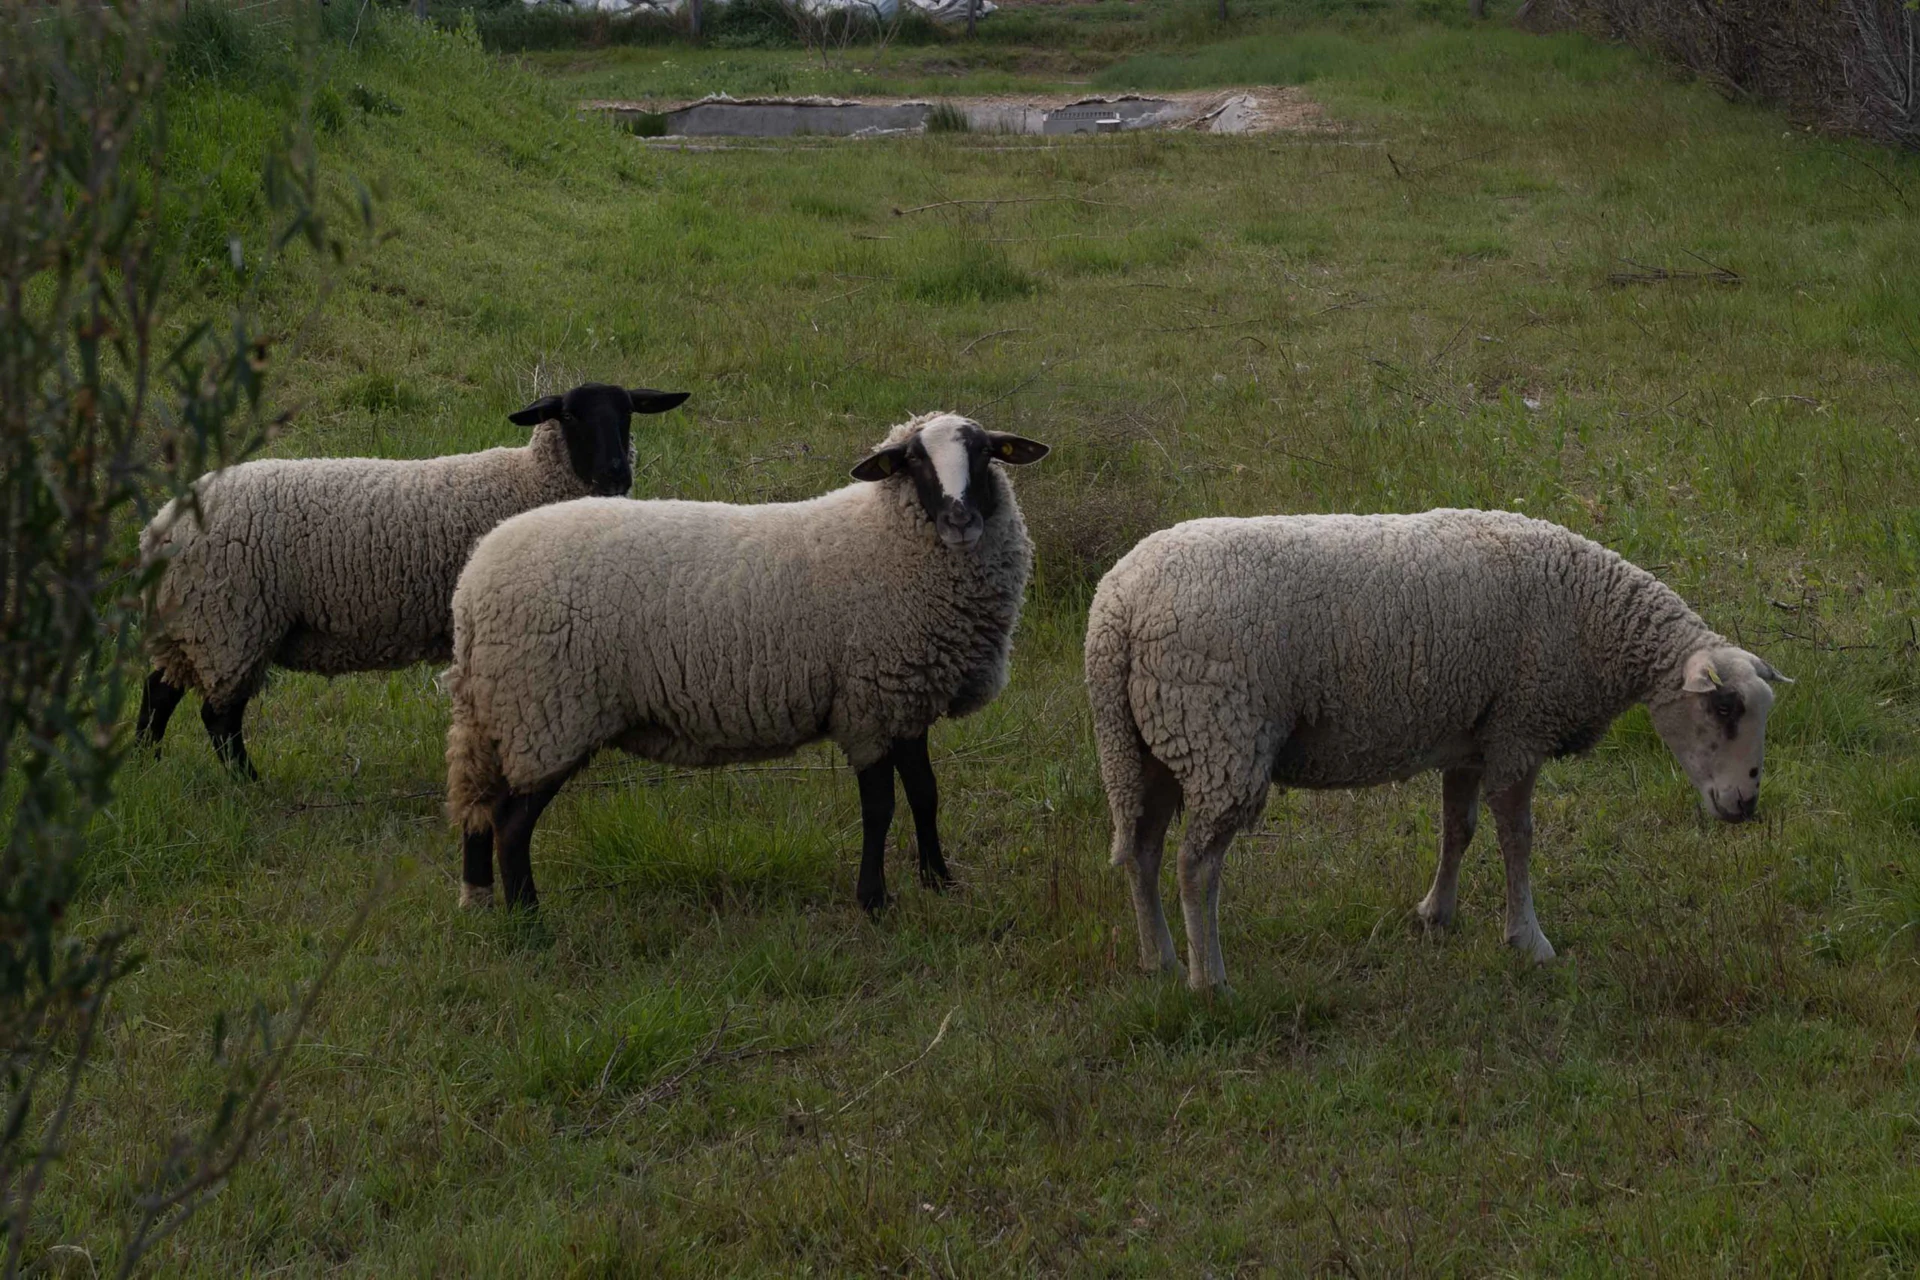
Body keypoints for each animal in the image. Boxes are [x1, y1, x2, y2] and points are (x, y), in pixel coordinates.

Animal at [135, 382, 689, 779]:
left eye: (628, 414)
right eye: (571, 415)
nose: (617, 473)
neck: (529, 479)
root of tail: (159, 528)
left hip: (191, 623)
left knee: (159, 691)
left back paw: (147, 765)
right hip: (230, 620)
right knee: (219, 717)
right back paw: (249, 784)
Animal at [442, 411, 1050, 912]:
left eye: (984, 453)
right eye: (915, 460)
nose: (960, 519)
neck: (885, 538)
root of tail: (472, 585)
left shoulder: (906, 697)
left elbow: (926, 794)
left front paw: (940, 882)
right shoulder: (870, 702)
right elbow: (880, 807)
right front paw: (874, 901)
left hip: (499, 713)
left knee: (478, 806)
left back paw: (479, 901)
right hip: (548, 712)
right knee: (511, 826)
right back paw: (530, 923)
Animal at [1084, 508, 1790, 991]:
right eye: (1724, 708)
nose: (1746, 803)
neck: (1596, 621)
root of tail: (1116, 610)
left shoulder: (1470, 736)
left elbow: (1459, 829)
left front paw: (1436, 913)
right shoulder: (1518, 727)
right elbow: (1517, 839)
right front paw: (1527, 938)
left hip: (1150, 744)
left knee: (1143, 851)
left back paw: (1158, 959)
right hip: (1219, 736)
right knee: (1195, 867)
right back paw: (1209, 981)